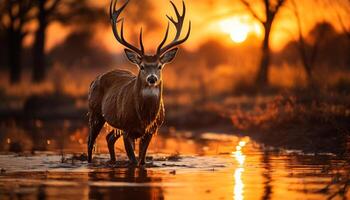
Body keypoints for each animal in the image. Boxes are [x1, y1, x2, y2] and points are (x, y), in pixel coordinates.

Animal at [87, 0, 191, 166]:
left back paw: (113, 162)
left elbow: (141, 161)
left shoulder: (151, 130)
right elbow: (134, 161)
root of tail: (94, 79)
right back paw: (90, 163)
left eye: (159, 66)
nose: (152, 78)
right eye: (142, 66)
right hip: (95, 111)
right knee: (91, 141)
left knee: (109, 138)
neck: (144, 117)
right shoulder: (127, 128)